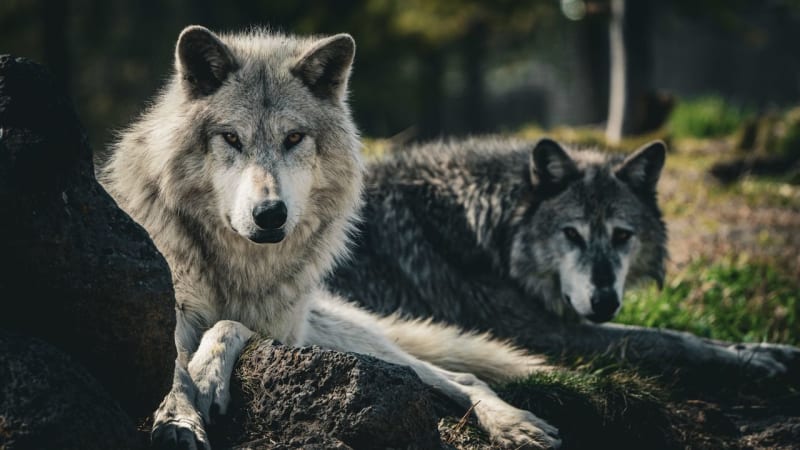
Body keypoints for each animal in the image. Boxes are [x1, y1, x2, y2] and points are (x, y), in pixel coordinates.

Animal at [99, 26, 563, 449]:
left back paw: (516, 423)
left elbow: (229, 324)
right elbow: (172, 368)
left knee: (462, 376)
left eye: (293, 138)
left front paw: (207, 376)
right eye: (231, 138)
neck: (239, 266)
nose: (270, 214)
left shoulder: (284, 331)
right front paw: (179, 420)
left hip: (342, 340)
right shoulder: (167, 309)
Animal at [327, 137, 800, 377]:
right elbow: (667, 338)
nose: (604, 302)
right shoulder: (543, 333)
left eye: (622, 236)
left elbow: (681, 332)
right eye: (571, 234)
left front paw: (771, 348)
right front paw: (753, 360)